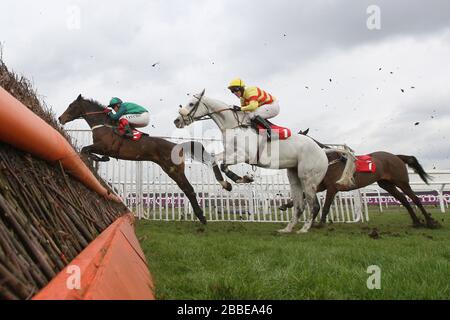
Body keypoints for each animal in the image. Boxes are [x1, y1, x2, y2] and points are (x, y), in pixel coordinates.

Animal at [58, 95, 207, 224]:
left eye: (71, 105)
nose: (60, 118)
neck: (103, 125)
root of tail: (178, 146)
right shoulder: (101, 148)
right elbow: (87, 151)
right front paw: (99, 159)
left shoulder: (104, 147)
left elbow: (85, 149)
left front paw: (98, 158)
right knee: (187, 189)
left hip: (174, 170)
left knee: (189, 189)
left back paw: (201, 217)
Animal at [174, 90, 354, 232]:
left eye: (191, 103)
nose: (177, 121)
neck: (235, 126)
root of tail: (323, 150)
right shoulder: (230, 152)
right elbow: (215, 160)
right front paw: (236, 181)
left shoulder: (243, 155)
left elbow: (223, 164)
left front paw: (235, 181)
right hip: (294, 176)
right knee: (299, 205)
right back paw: (287, 229)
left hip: (308, 178)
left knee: (314, 204)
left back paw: (303, 229)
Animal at [280, 151, 442, 229]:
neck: (329, 161)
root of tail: (397, 157)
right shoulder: (322, 185)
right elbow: (303, 195)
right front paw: (286, 204)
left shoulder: (332, 187)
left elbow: (326, 206)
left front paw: (320, 223)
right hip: (387, 184)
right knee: (404, 200)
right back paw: (416, 222)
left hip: (401, 181)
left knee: (415, 198)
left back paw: (430, 222)